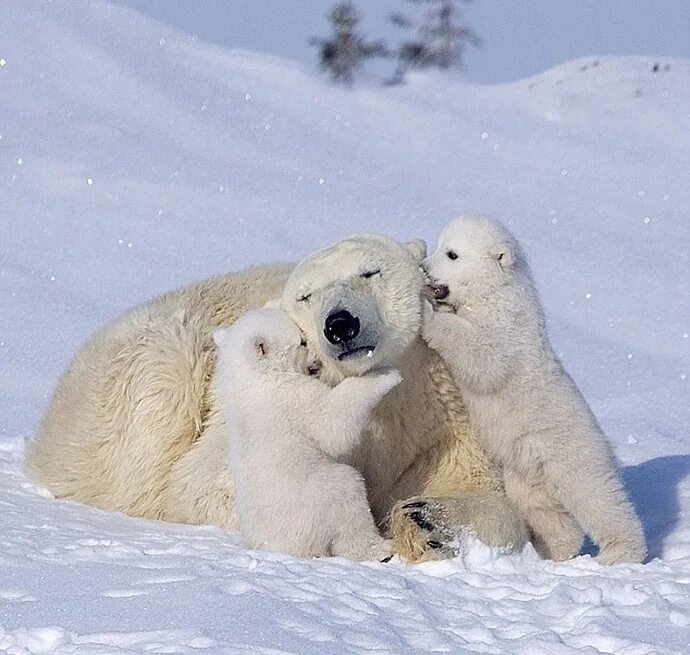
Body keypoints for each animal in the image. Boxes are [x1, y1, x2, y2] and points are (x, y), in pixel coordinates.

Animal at [214, 308, 398, 560]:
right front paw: (386, 373)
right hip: (316, 499)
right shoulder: (292, 397)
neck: (253, 381)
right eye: (302, 342)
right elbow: (331, 423)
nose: (317, 362)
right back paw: (379, 548)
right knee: (348, 496)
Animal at [422, 215, 644, 564]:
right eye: (441, 244)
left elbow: (483, 356)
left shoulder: (507, 330)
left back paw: (620, 552)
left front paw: (424, 311)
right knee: (542, 509)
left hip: (569, 452)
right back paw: (552, 550)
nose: (424, 266)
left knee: (597, 497)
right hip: (526, 467)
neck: (495, 292)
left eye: (452, 254)